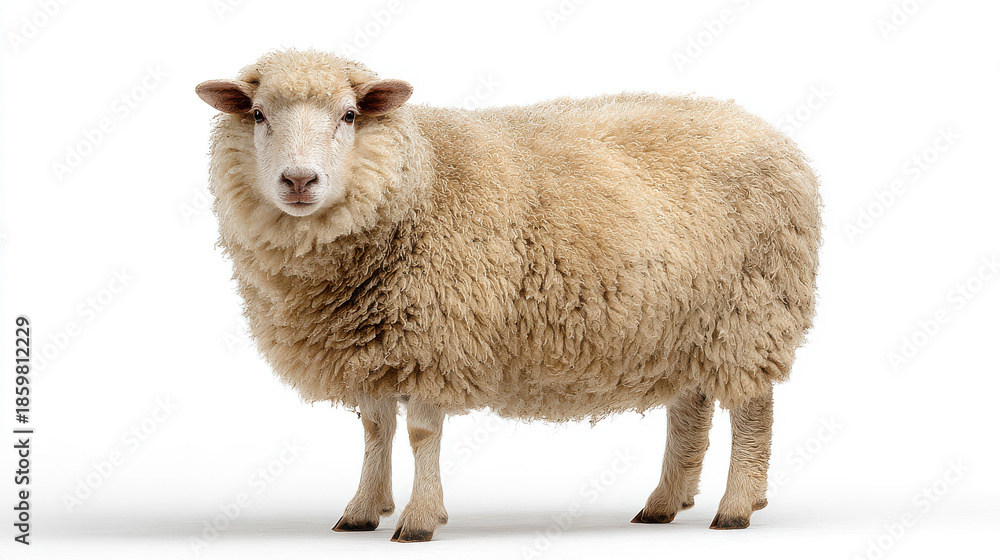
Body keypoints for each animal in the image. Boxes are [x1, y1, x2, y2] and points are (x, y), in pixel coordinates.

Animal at [196, 49, 821, 542]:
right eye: (258, 115)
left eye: (349, 115)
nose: (299, 181)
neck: (416, 177)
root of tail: (772, 135)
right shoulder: (373, 344)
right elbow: (376, 430)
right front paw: (361, 511)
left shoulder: (436, 338)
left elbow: (421, 433)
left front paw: (419, 520)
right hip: (684, 323)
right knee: (690, 410)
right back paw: (663, 504)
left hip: (751, 314)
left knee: (752, 412)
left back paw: (735, 507)